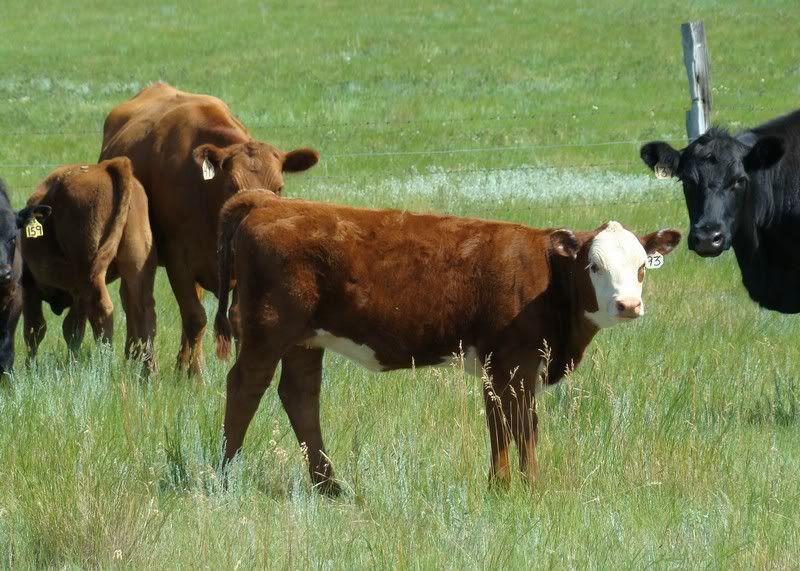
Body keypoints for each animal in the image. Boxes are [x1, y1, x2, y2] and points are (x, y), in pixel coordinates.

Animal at [21, 157, 157, 372]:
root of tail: (108, 166)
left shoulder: (32, 288)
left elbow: (35, 330)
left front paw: (30, 368)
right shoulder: (77, 293)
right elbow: (73, 330)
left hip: (92, 274)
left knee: (103, 310)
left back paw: (105, 366)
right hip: (137, 267)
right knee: (144, 309)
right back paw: (148, 371)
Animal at [99, 82, 320, 375]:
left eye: (279, 188)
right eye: (232, 185)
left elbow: (236, 319)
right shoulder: (178, 258)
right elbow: (195, 317)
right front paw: (196, 377)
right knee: (134, 300)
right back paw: (136, 356)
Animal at [213, 191, 681, 495]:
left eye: (642, 266)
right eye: (594, 266)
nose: (628, 305)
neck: (547, 278)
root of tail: (271, 203)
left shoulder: (505, 366)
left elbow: (506, 425)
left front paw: (507, 485)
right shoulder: (514, 362)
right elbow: (518, 424)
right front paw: (523, 487)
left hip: (306, 340)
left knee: (300, 397)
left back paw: (330, 487)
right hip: (267, 330)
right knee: (244, 388)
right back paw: (225, 477)